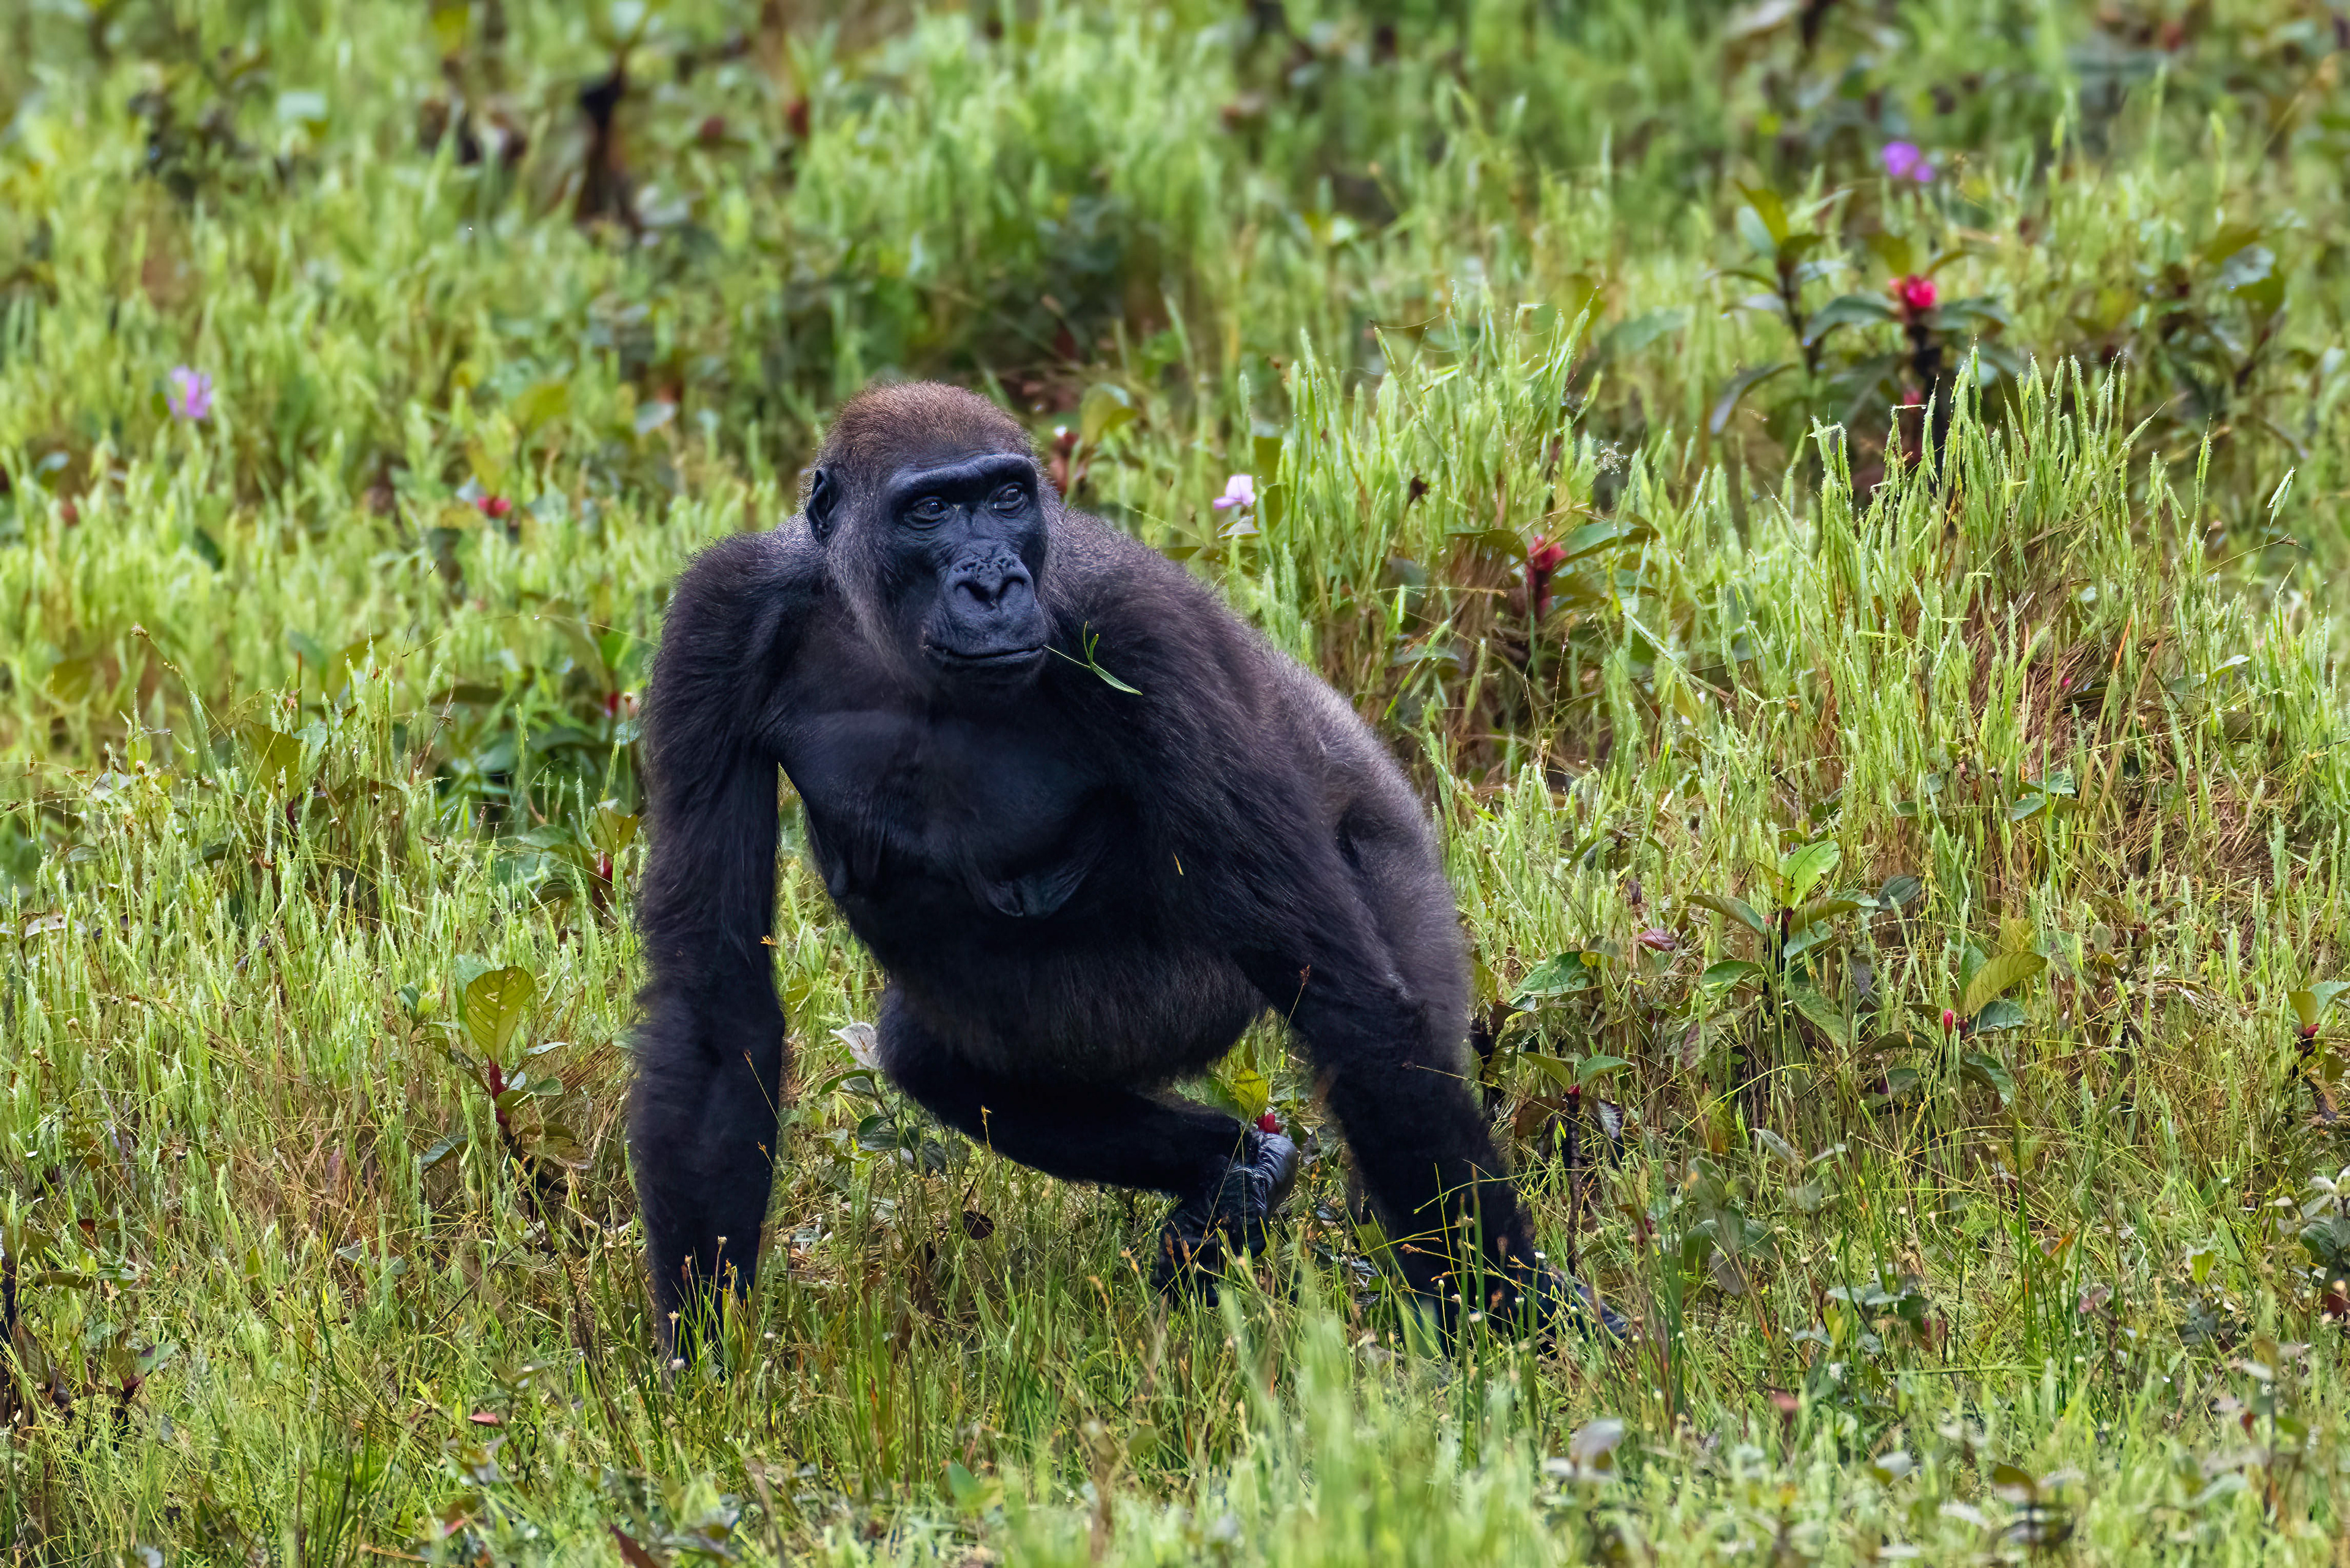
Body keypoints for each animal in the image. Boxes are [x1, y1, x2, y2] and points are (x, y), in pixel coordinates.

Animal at [628, 381, 1619, 1349]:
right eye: (931, 510)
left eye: (1008, 498)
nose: (993, 581)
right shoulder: (720, 619)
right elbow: (715, 1000)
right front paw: (702, 1355)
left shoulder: (1143, 629)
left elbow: (1351, 1008)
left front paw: (1515, 1309)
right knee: (940, 1059)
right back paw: (1231, 1170)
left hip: (1355, 879)